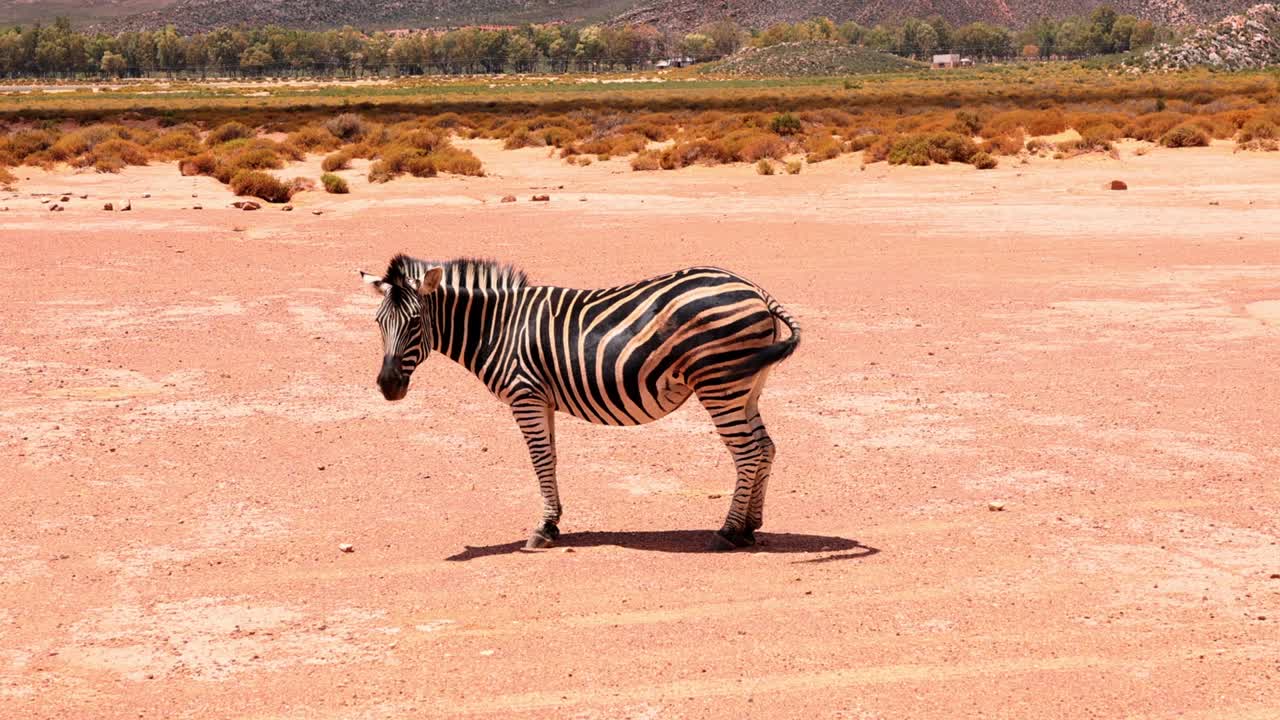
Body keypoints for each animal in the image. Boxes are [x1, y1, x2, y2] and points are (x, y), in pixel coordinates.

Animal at [359, 255, 800, 551]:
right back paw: (750, 527)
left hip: (720, 382)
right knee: (765, 447)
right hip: (748, 384)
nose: (388, 386)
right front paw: (553, 522)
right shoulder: (543, 398)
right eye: (379, 323)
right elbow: (550, 458)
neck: (496, 327)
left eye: (416, 323)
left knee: (747, 452)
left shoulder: (525, 394)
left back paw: (728, 532)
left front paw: (543, 528)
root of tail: (755, 289)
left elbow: (539, 459)